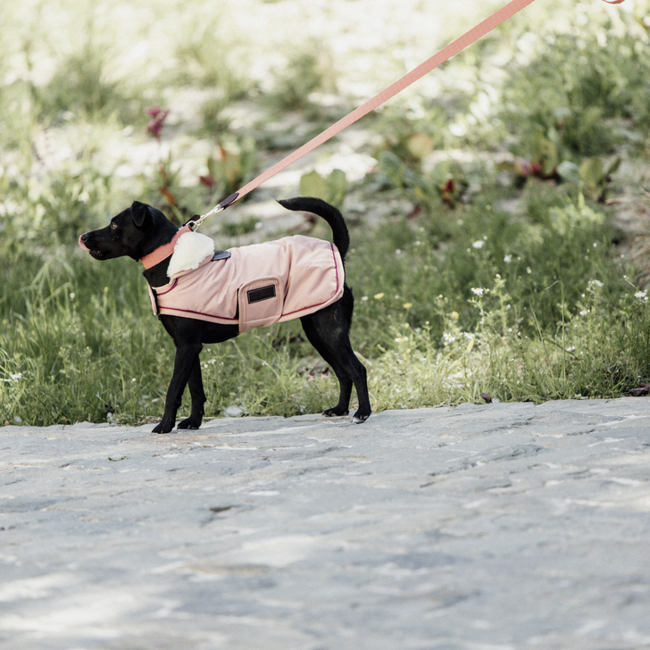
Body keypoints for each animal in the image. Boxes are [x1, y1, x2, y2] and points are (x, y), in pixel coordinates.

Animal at [79, 196, 370, 430]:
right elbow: (195, 389)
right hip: (317, 332)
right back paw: (340, 410)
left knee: (357, 369)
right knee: (342, 372)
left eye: (115, 225)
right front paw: (193, 422)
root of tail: (335, 249)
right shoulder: (189, 347)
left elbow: (173, 391)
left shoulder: (186, 347)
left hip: (328, 331)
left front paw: (164, 426)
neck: (171, 262)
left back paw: (362, 413)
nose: (83, 237)